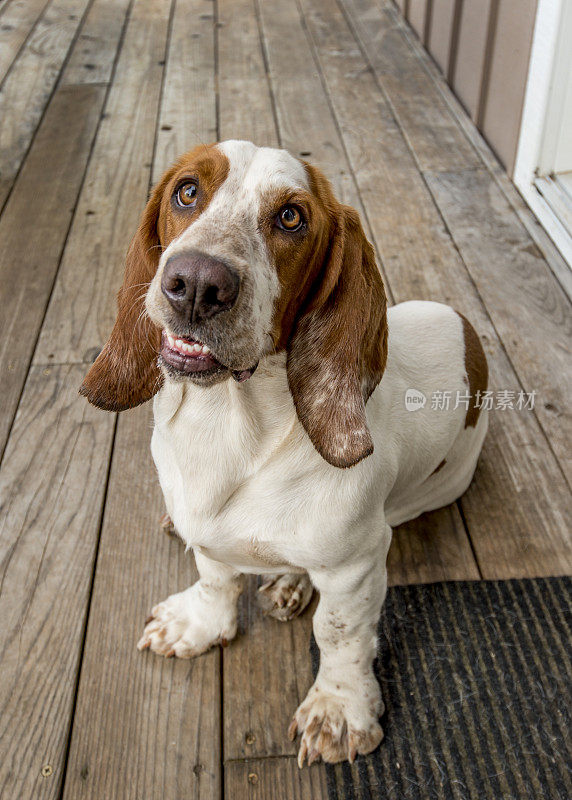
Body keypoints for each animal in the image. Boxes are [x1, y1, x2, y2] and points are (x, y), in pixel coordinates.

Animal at [82, 141, 490, 764]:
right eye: (186, 191)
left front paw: (339, 711)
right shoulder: (209, 535)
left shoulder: (356, 563)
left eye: (291, 217)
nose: (196, 283)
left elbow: (340, 632)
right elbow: (215, 578)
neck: (229, 425)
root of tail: (466, 329)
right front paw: (199, 623)